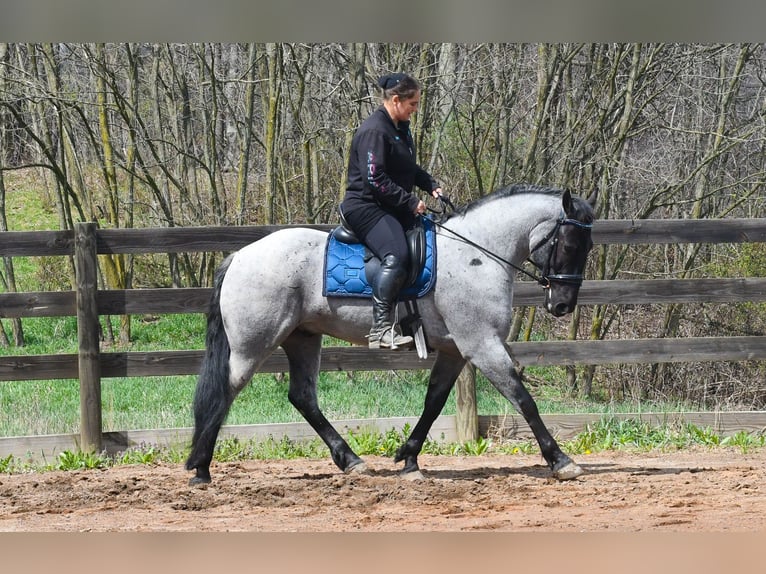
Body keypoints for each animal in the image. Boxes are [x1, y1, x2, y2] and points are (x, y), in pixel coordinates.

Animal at [186, 184, 597, 485]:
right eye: (570, 244)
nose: (562, 305)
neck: (477, 256)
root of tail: (239, 256)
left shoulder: (455, 351)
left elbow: (433, 403)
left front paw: (409, 458)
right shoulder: (482, 345)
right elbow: (524, 399)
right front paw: (561, 461)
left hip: (302, 337)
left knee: (303, 397)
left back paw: (350, 460)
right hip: (252, 345)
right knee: (224, 392)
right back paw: (201, 469)